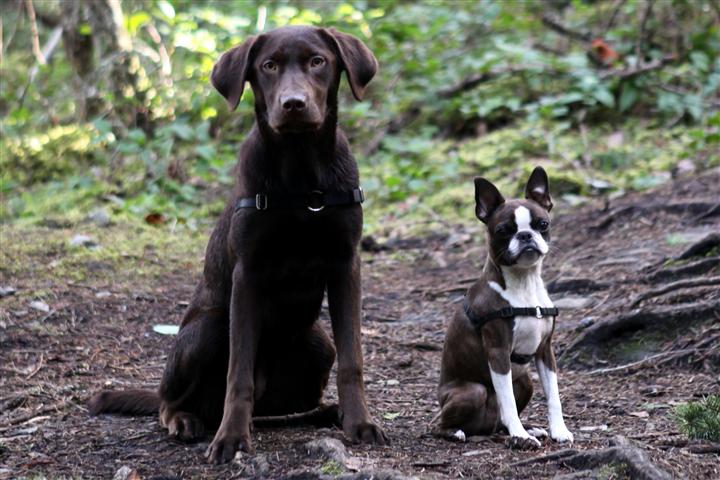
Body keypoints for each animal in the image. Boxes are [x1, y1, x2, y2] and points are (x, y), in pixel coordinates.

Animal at [90, 24, 388, 464]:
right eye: (268, 66)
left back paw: (326, 412)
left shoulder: (346, 264)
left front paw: (360, 423)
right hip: (208, 330)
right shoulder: (248, 274)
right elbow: (238, 371)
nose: (293, 104)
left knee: (280, 410)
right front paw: (230, 438)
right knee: (168, 401)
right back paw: (186, 420)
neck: (301, 173)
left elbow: (353, 361)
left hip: (319, 344)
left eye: (318, 61)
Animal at [434, 168, 572, 450]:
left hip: (525, 381)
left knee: (498, 419)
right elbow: (506, 401)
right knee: (439, 424)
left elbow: (554, 396)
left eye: (543, 224)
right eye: (502, 230)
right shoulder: (498, 352)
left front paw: (558, 430)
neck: (524, 283)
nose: (525, 236)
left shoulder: (545, 351)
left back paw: (524, 428)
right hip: (472, 391)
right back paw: (456, 432)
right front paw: (520, 436)